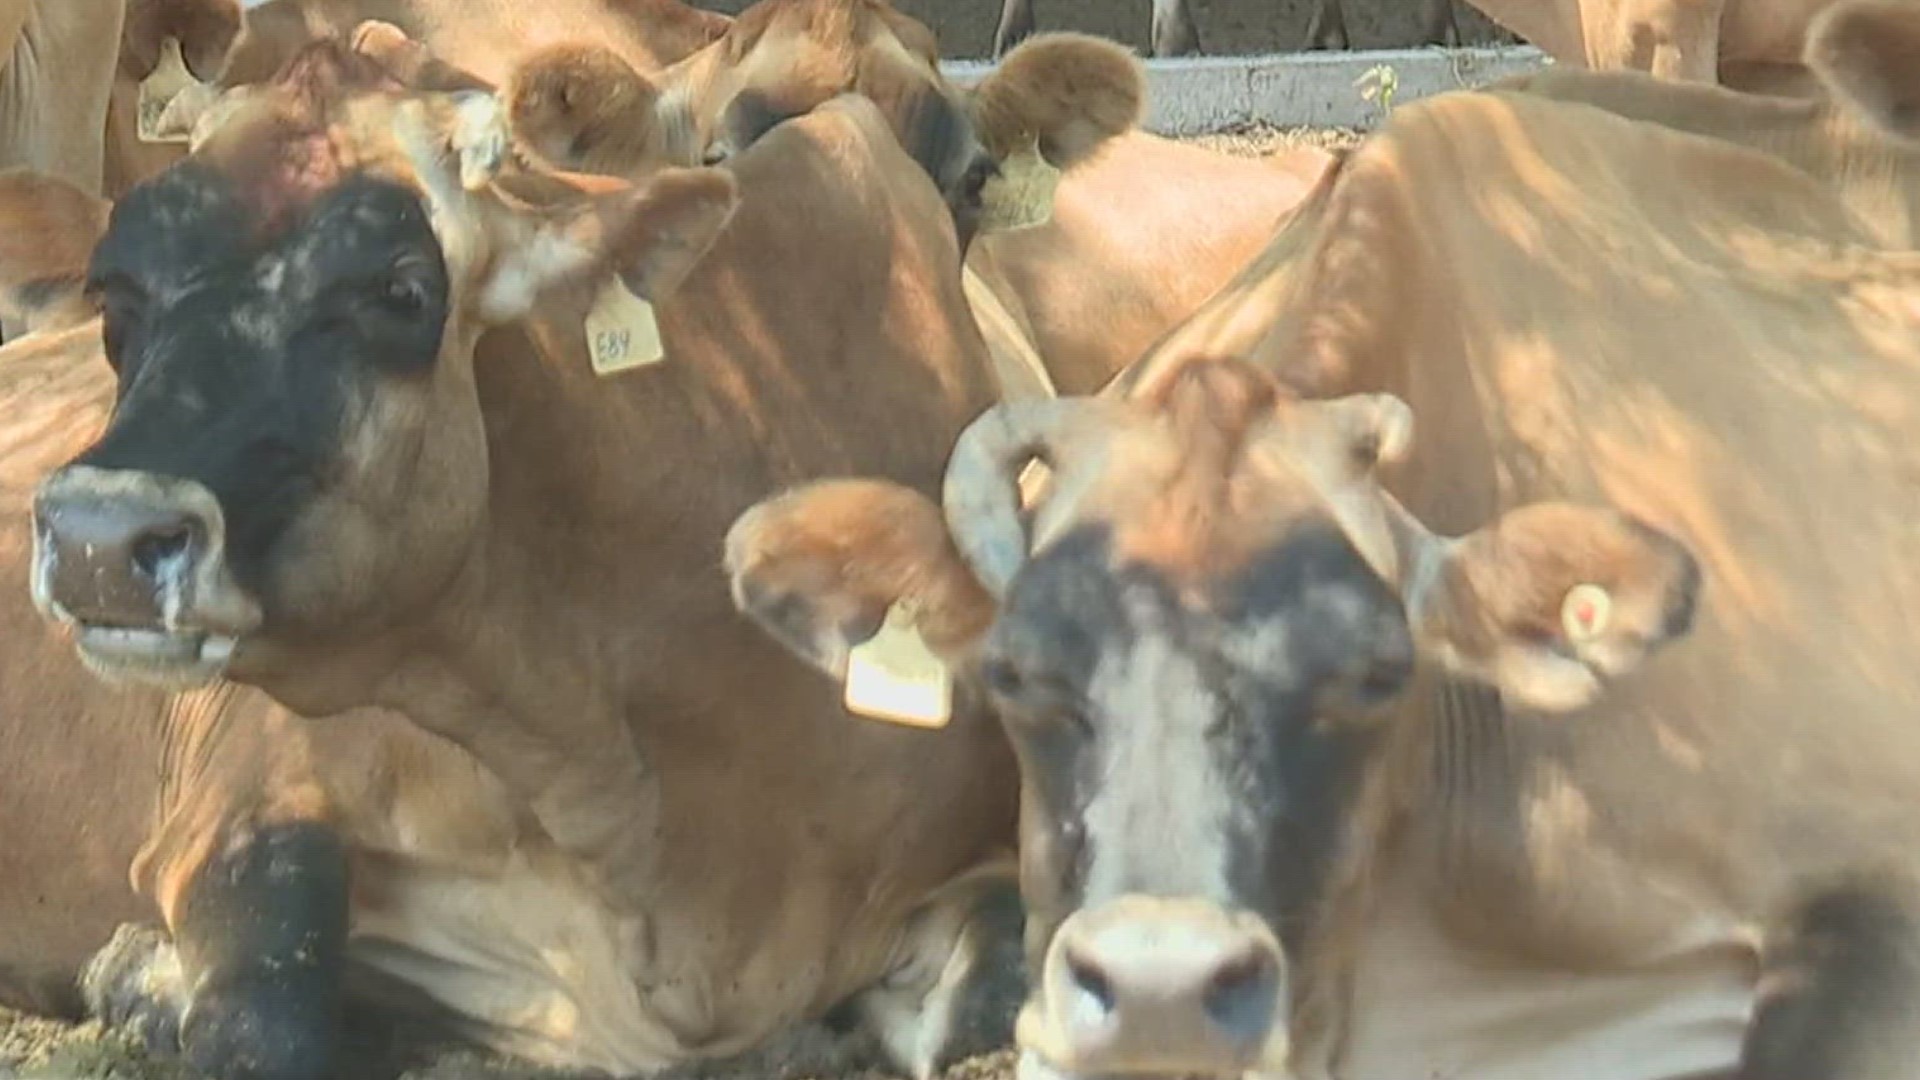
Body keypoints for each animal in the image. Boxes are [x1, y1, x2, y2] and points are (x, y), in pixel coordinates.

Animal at [22, 25, 1136, 1076]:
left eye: (401, 289)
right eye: (116, 299)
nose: (97, 539)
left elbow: (997, 988)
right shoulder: (240, 806)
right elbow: (262, 1023)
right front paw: (141, 977)